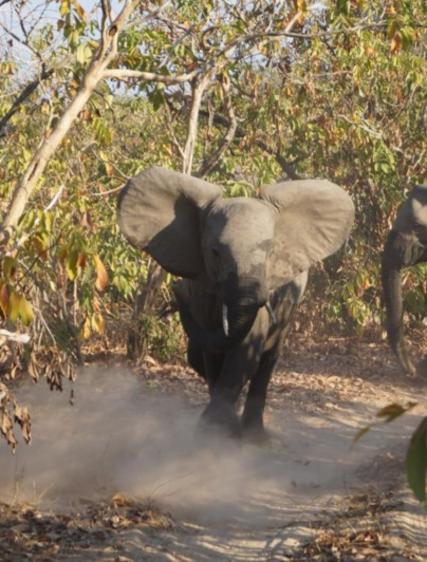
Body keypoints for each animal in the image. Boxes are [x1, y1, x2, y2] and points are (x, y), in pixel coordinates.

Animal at [117, 166, 354, 442]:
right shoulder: (202, 292)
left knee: (266, 362)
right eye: (215, 253)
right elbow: (213, 357)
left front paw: (216, 429)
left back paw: (255, 437)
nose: (176, 289)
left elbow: (244, 352)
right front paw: (217, 429)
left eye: (271, 251)